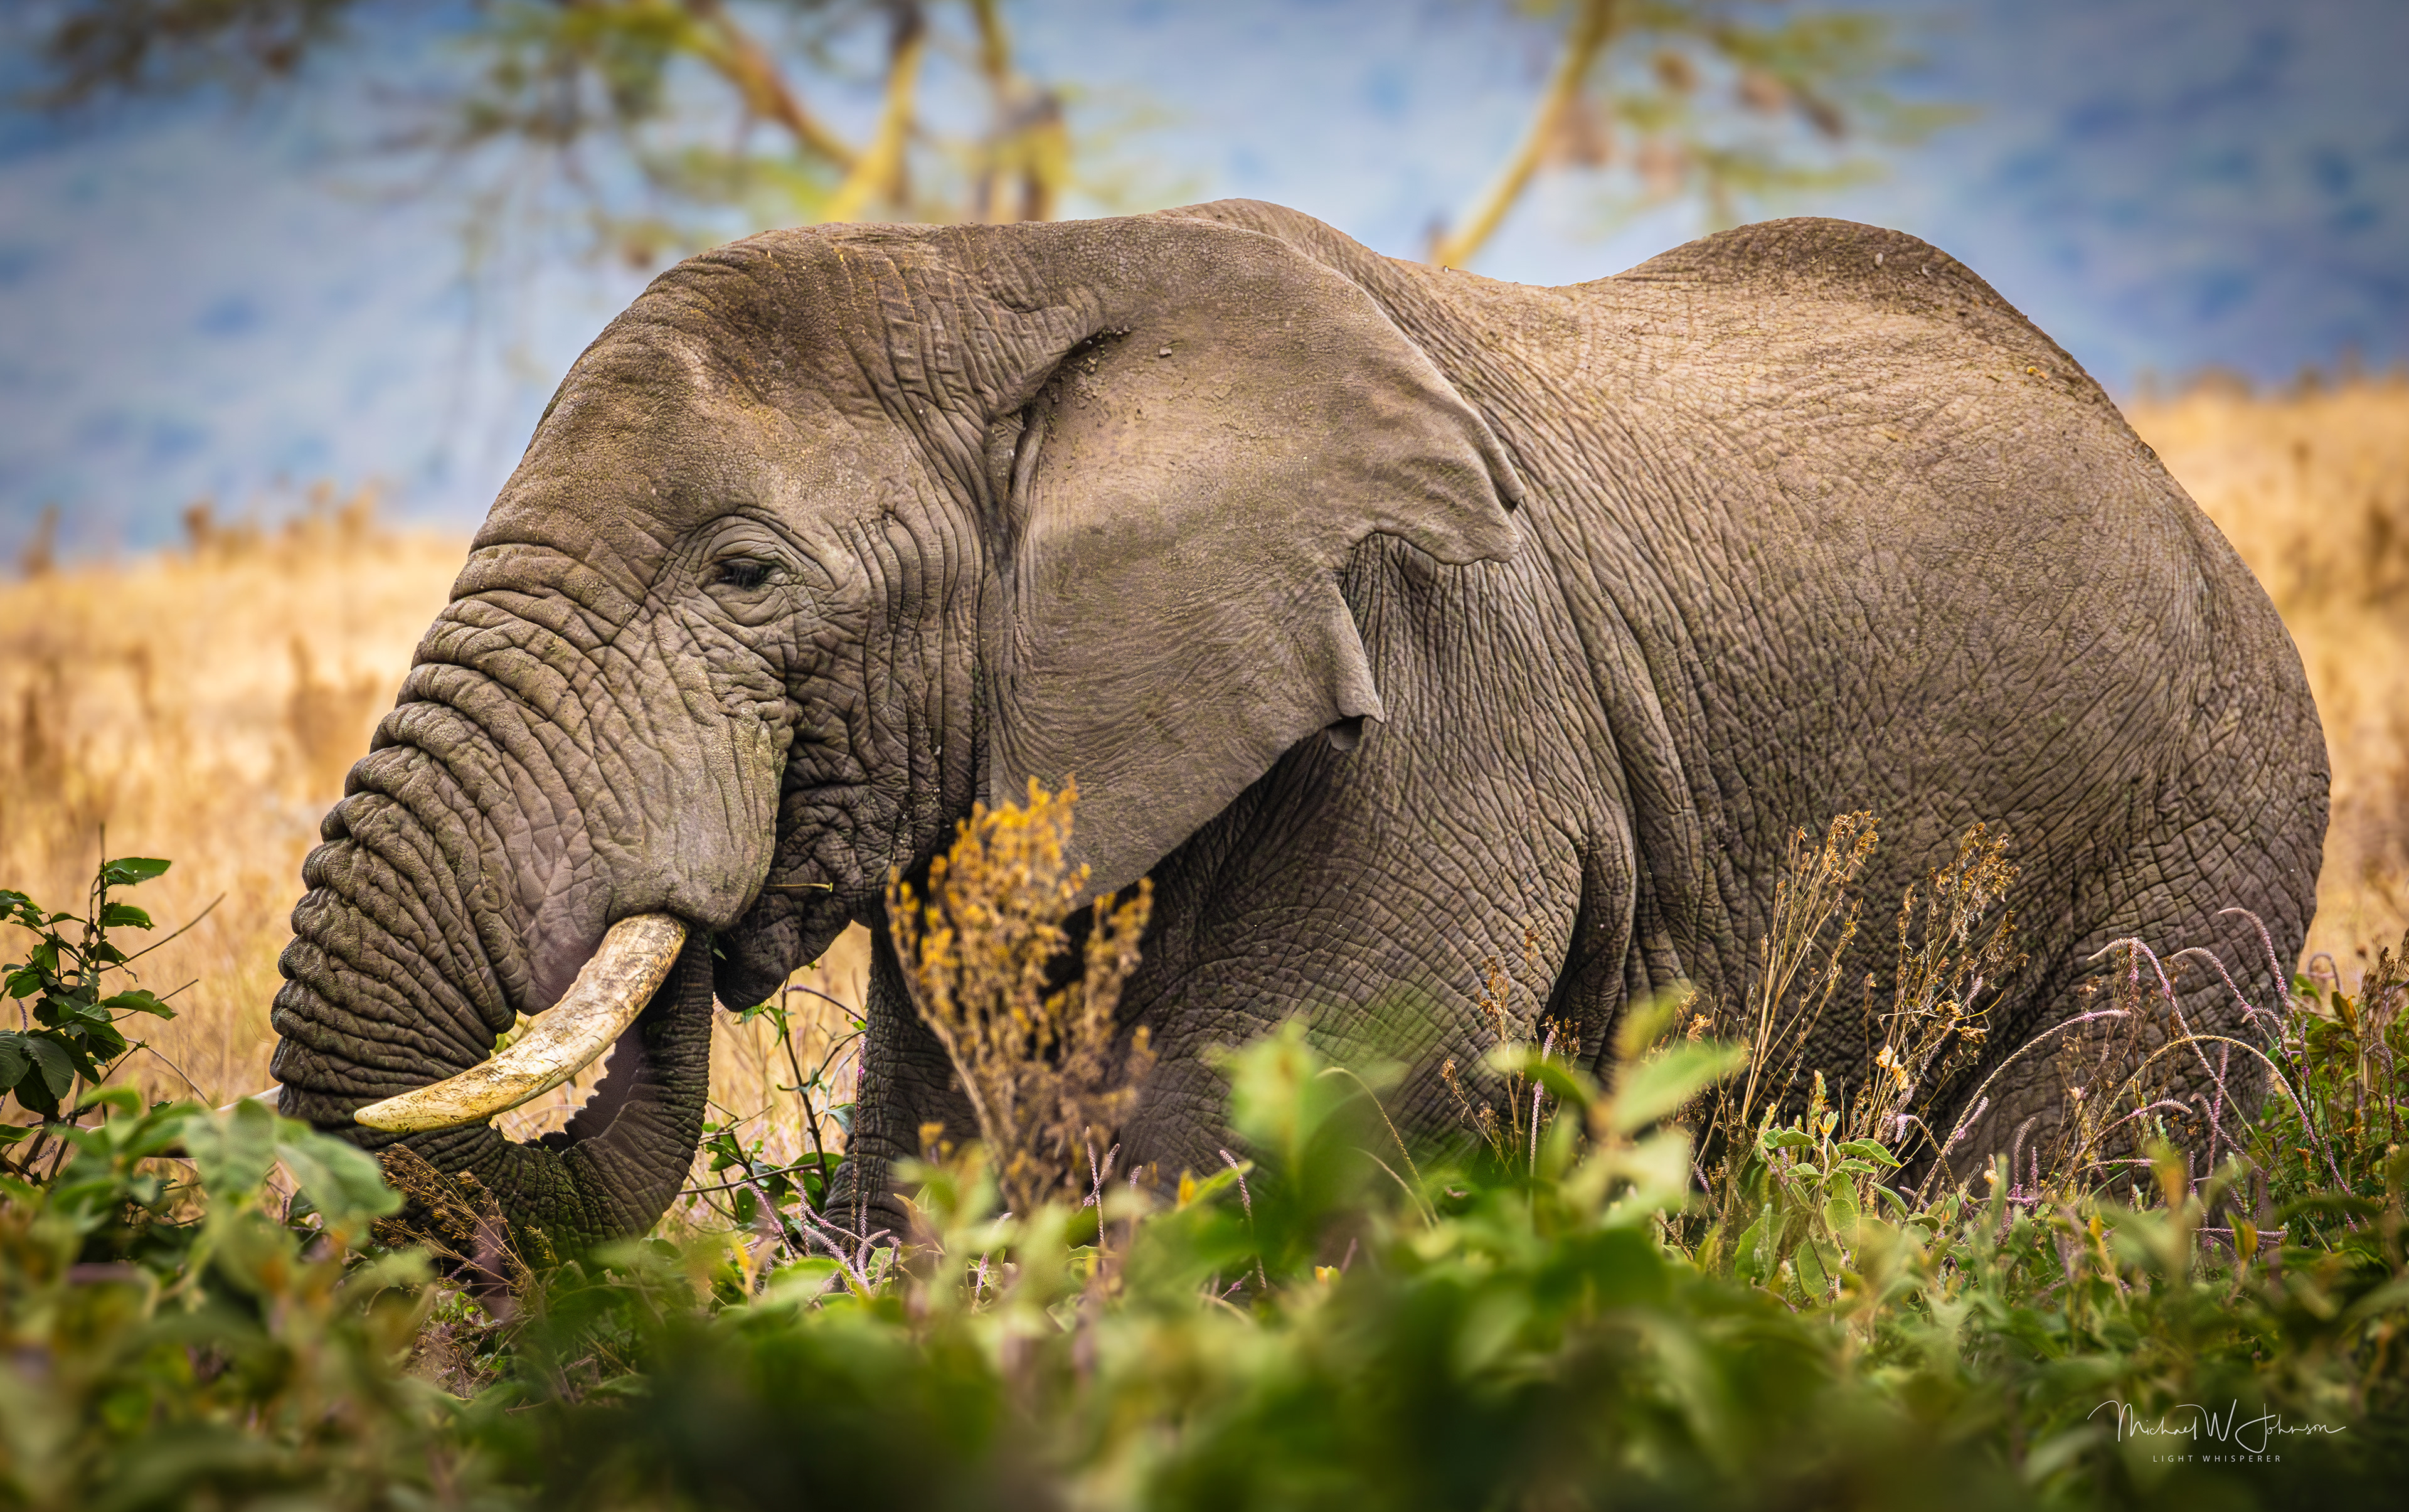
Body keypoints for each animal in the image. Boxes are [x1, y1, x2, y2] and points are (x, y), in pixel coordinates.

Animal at [269, 200, 2327, 1248]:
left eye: (746, 575)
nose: (691, 916)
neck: (988, 269)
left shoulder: (1434, 679)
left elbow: (1256, 1142)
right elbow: (930, 1163)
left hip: (2208, 828)